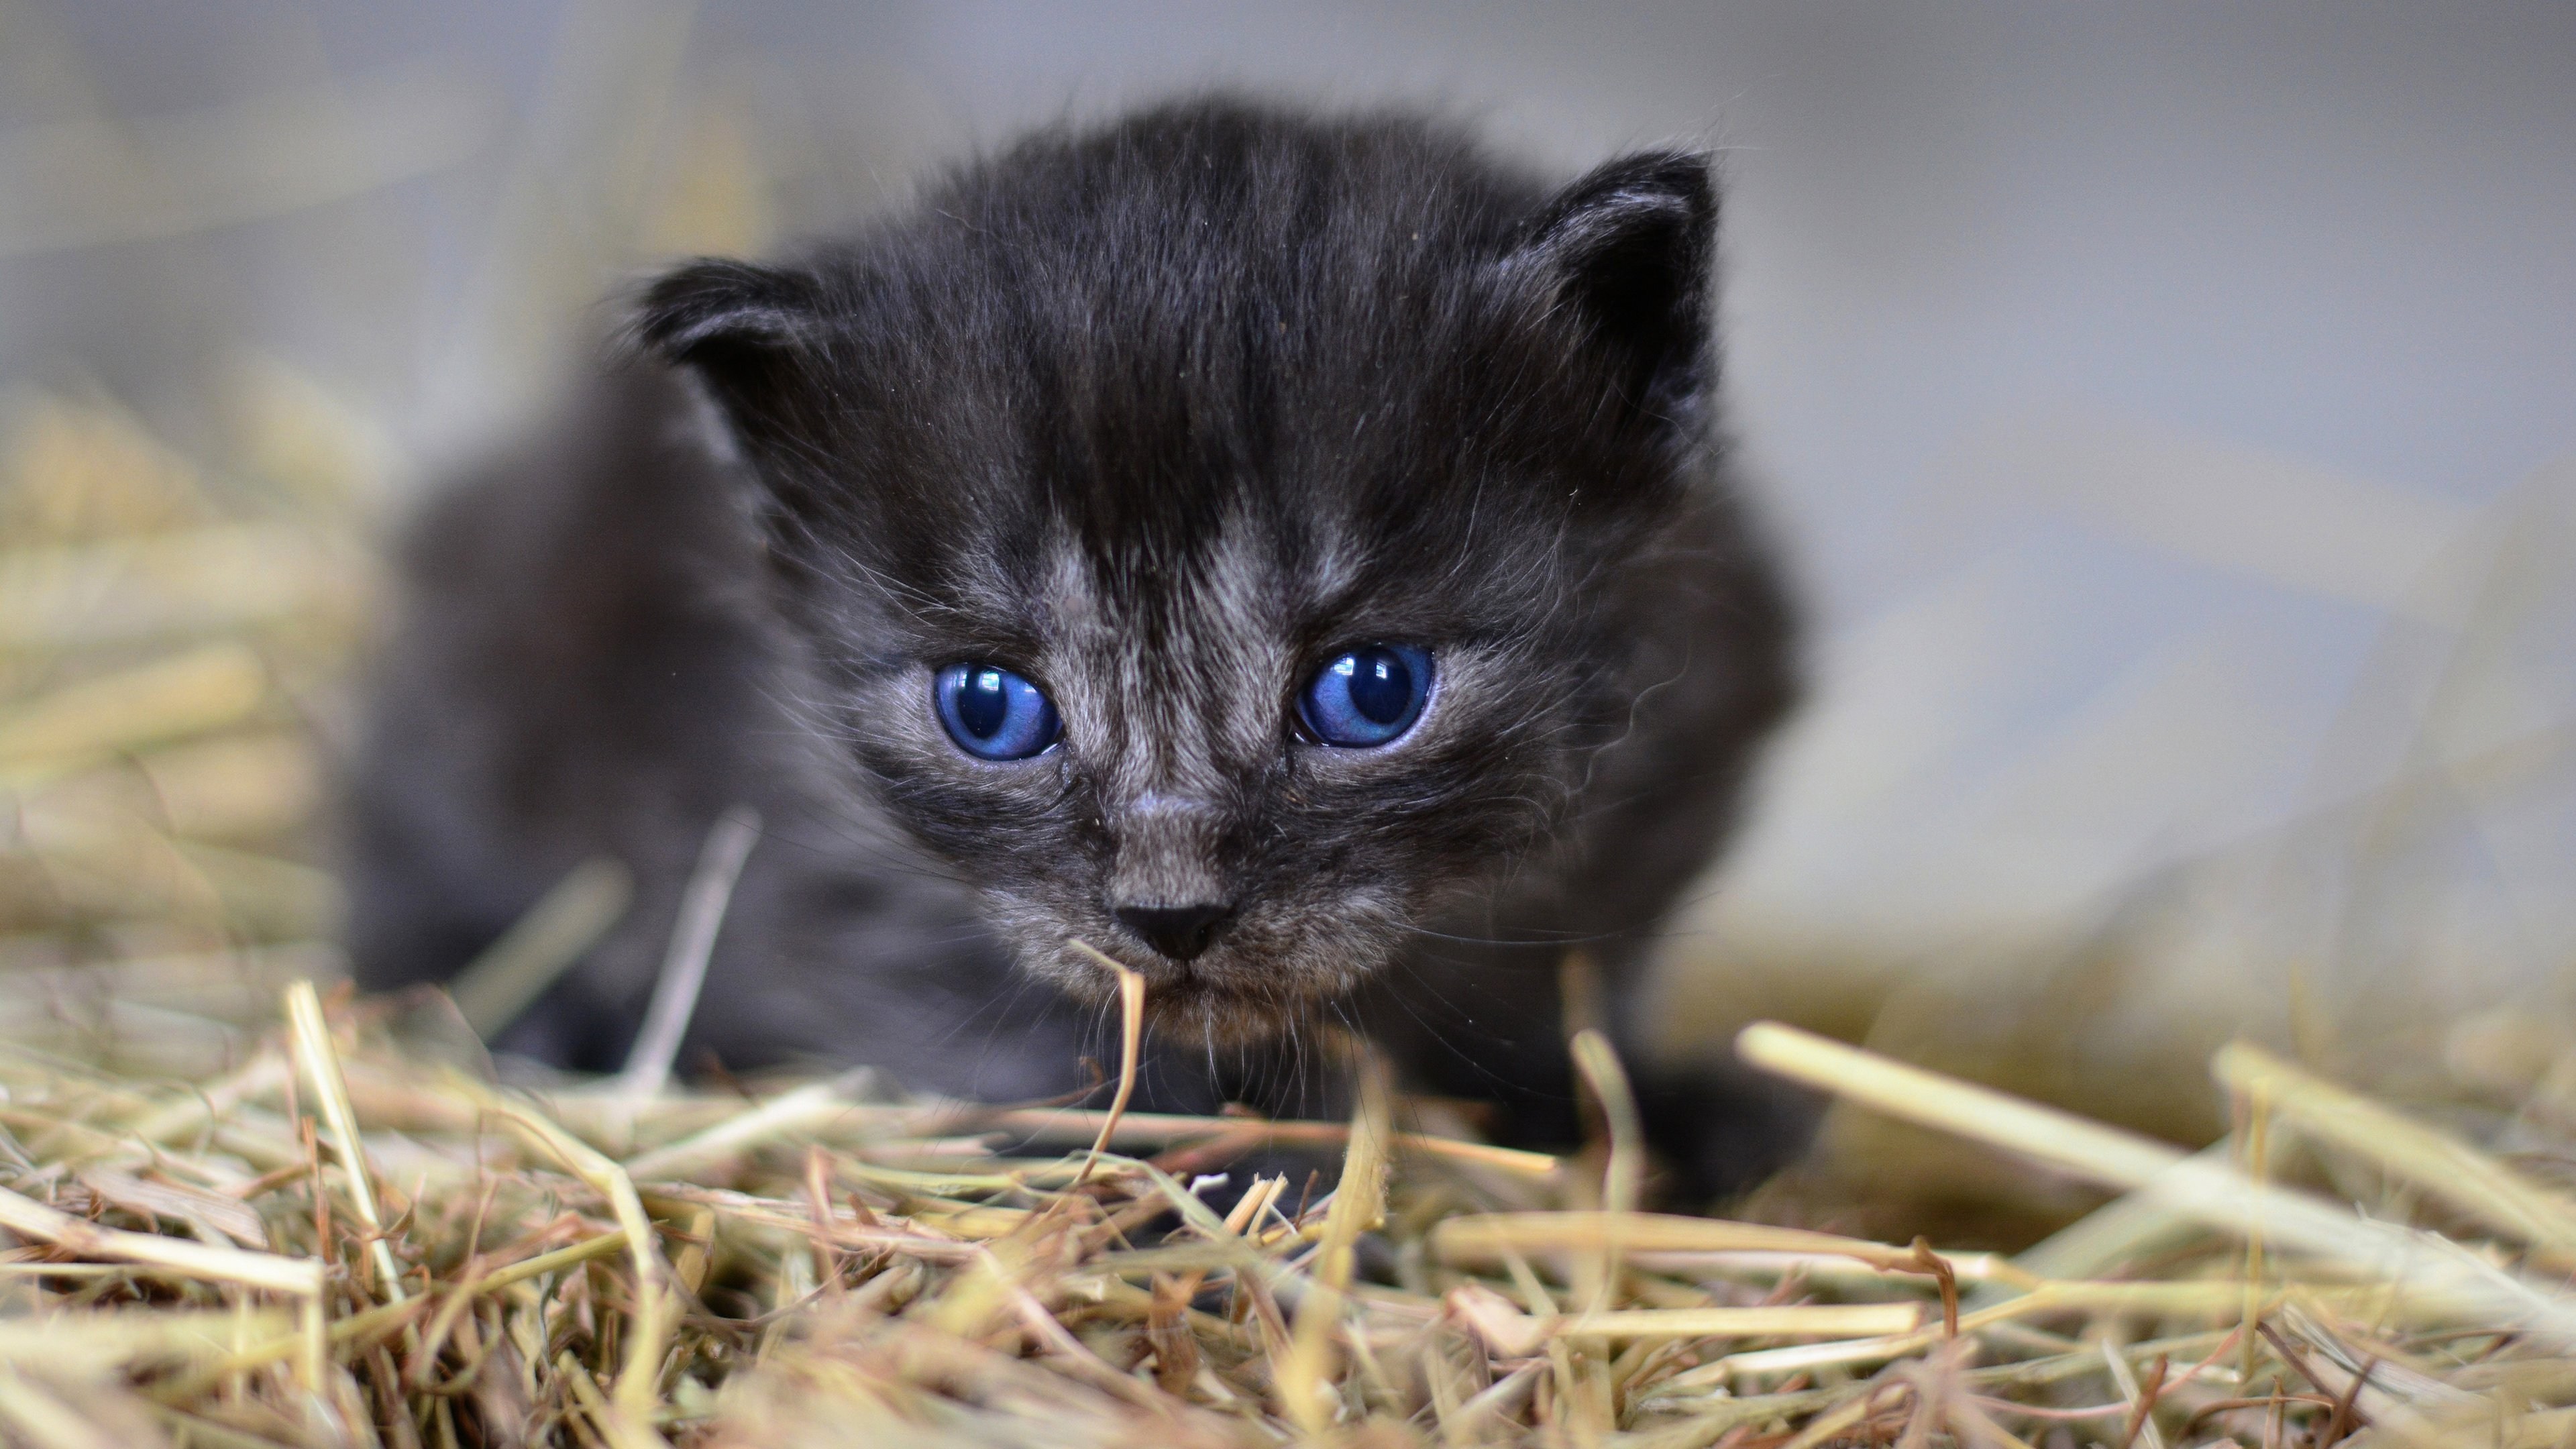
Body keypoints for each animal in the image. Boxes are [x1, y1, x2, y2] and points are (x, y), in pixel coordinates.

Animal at [353, 93, 1803, 1196]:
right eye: (990, 708)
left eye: (1373, 691)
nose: (1173, 915)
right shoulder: (813, 870)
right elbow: (1040, 1047)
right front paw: (1230, 1183)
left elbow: (1563, 995)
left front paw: (1653, 1113)